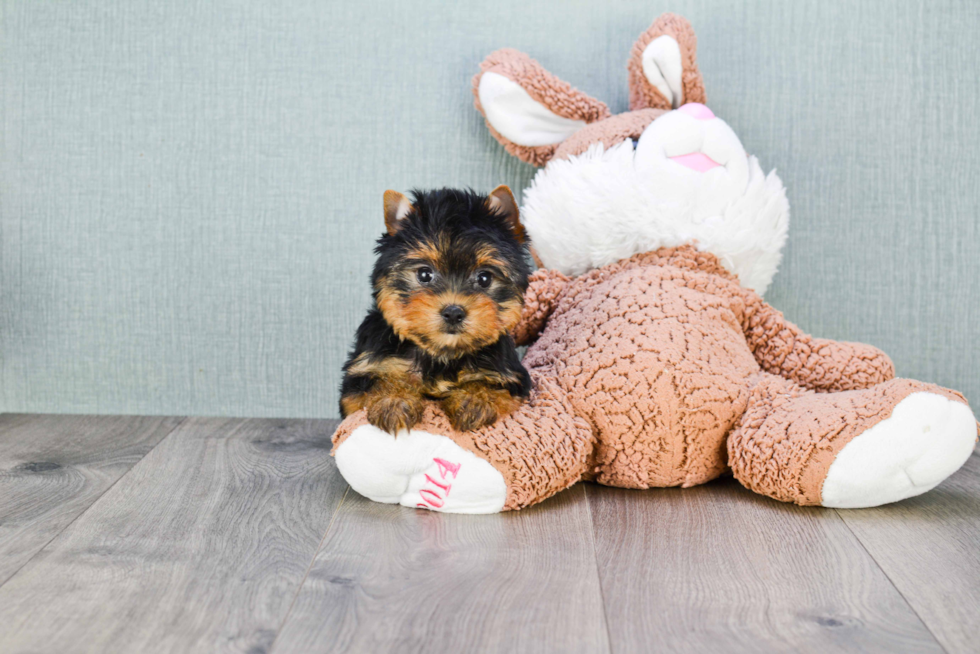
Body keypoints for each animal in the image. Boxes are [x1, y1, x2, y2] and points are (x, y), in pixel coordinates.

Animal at [340, 187, 532, 434]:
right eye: (424, 274)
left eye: (485, 278)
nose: (453, 312)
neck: (441, 354)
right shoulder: (361, 376)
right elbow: (378, 381)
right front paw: (393, 400)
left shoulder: (511, 378)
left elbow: (492, 386)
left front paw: (475, 400)